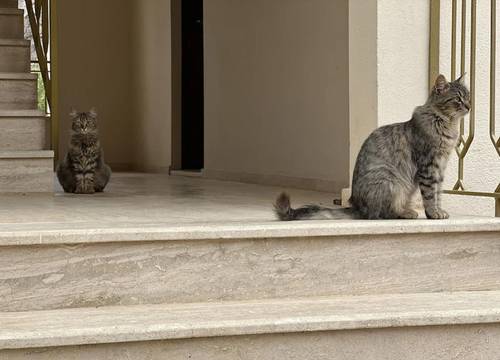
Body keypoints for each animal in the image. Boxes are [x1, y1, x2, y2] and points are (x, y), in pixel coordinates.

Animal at [276, 75, 470, 221]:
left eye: (468, 97)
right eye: (458, 99)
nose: (469, 106)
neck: (447, 125)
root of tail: (357, 206)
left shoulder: (440, 167)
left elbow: (438, 194)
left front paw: (439, 211)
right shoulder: (429, 166)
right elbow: (430, 195)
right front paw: (433, 214)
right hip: (391, 181)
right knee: (381, 214)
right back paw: (407, 212)